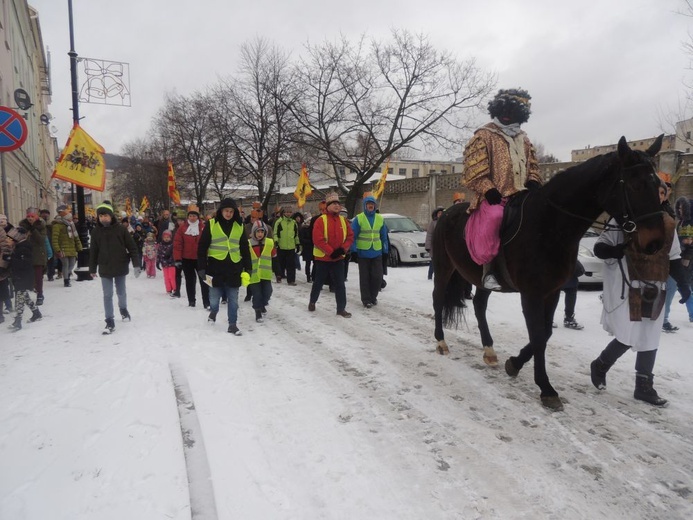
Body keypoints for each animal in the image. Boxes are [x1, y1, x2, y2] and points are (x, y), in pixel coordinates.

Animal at [432, 137, 664, 410]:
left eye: (658, 185)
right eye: (635, 185)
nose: (655, 242)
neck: (549, 225)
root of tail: (446, 213)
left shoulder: (552, 292)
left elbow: (545, 333)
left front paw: (515, 363)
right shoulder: (531, 294)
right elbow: (538, 335)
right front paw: (546, 387)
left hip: (480, 279)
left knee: (479, 305)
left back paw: (489, 350)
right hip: (444, 267)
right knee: (438, 300)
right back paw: (441, 342)